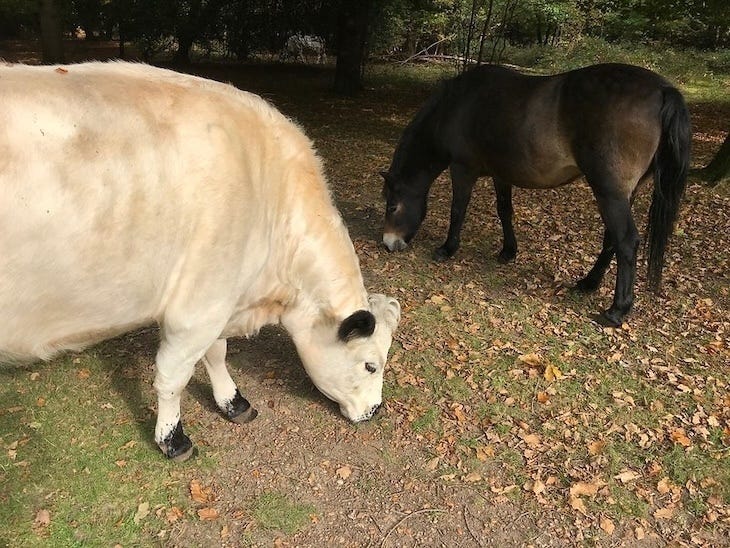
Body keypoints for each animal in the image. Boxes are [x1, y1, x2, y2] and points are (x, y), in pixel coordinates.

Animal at [0, 62, 398, 460]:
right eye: (370, 365)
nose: (375, 411)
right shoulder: (196, 308)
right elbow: (173, 377)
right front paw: (173, 439)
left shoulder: (218, 304)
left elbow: (217, 354)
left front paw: (233, 402)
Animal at [382, 62, 688, 328]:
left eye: (393, 206)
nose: (388, 243)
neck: (458, 105)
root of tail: (662, 90)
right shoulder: (501, 175)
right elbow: (504, 210)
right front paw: (508, 251)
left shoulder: (462, 169)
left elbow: (458, 210)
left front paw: (447, 248)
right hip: (623, 194)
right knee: (612, 239)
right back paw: (589, 283)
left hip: (609, 194)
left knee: (625, 241)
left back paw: (616, 310)